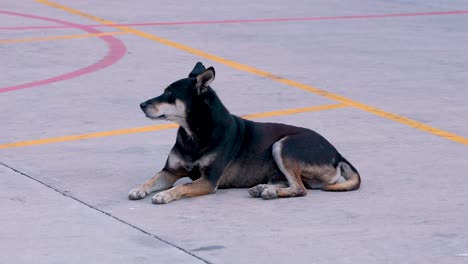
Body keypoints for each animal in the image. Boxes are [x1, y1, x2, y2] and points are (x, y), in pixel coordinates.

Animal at [126, 62, 360, 204]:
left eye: (169, 93)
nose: (141, 105)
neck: (194, 133)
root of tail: (337, 154)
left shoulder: (209, 180)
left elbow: (183, 187)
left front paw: (165, 194)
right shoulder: (170, 171)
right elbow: (152, 179)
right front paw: (139, 189)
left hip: (284, 145)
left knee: (300, 189)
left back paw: (270, 191)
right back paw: (264, 188)